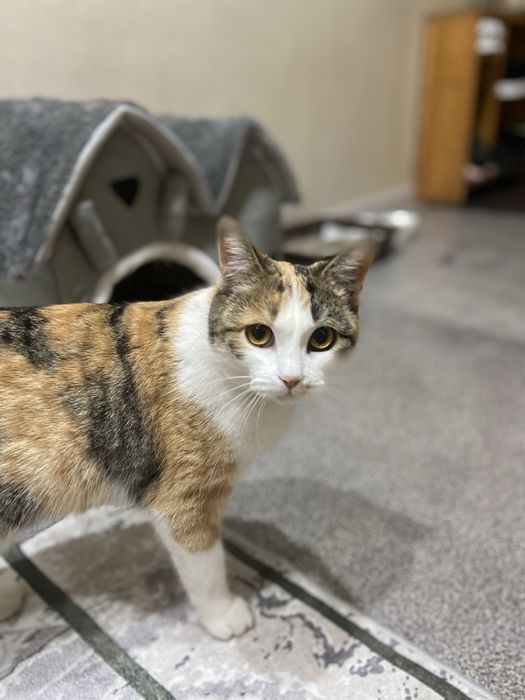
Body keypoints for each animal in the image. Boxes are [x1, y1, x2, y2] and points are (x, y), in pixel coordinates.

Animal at [0, 216, 371, 638]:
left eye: (321, 338)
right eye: (258, 334)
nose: (291, 379)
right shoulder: (184, 496)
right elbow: (203, 562)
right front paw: (223, 615)